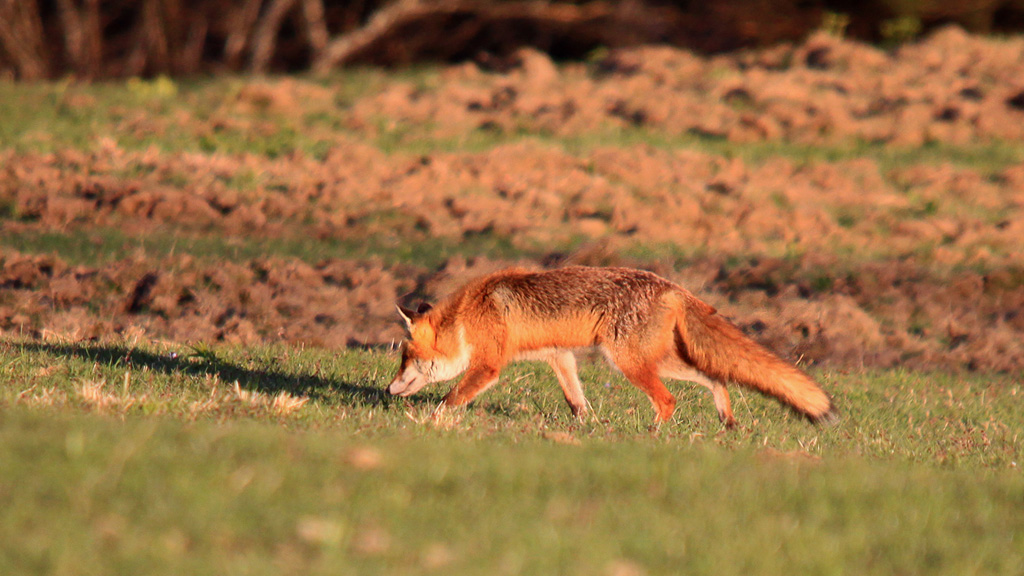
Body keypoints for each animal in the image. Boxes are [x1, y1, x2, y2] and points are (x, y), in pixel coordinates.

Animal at [387, 266, 835, 426]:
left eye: (406, 358)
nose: (389, 390)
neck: (467, 315)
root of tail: (672, 286)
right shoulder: (558, 355)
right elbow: (576, 399)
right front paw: (587, 427)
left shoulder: (489, 365)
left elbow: (452, 396)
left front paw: (430, 420)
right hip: (651, 360)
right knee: (713, 377)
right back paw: (726, 420)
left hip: (627, 363)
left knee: (669, 400)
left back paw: (652, 436)